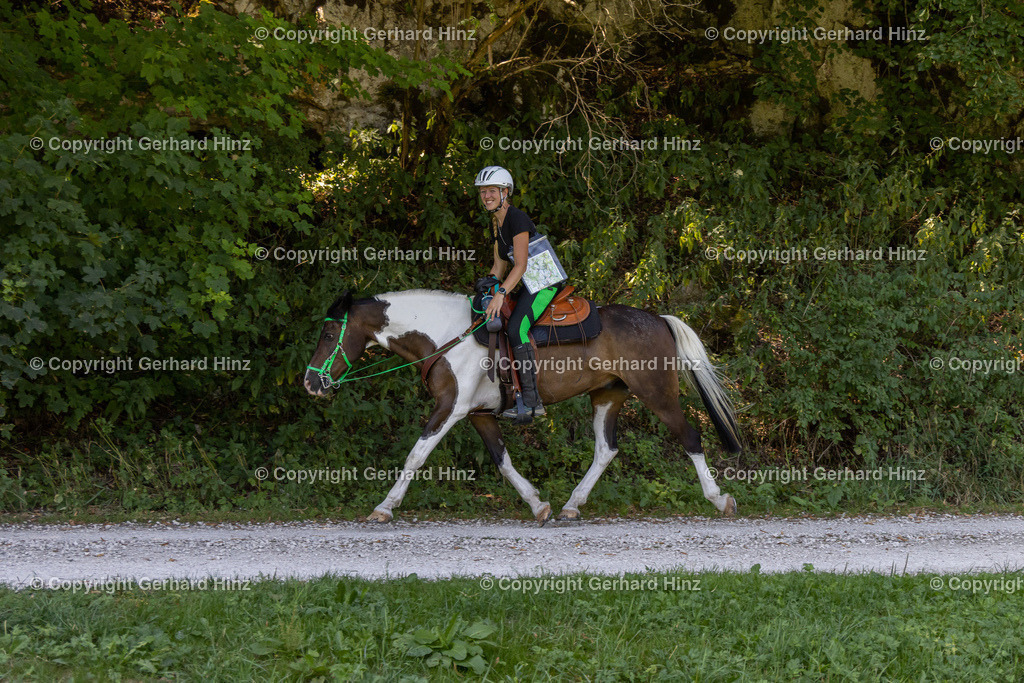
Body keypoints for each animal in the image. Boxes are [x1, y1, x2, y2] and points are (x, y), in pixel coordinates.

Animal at [299, 290, 741, 528]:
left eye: (328, 334)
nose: (310, 383)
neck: (447, 336)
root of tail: (657, 319)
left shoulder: (450, 408)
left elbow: (416, 455)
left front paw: (384, 507)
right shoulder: (478, 414)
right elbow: (503, 461)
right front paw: (538, 504)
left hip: (657, 394)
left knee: (690, 437)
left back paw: (720, 499)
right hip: (607, 396)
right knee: (605, 449)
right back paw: (571, 506)